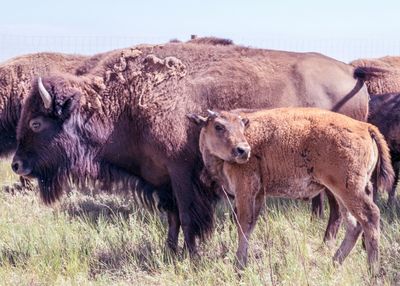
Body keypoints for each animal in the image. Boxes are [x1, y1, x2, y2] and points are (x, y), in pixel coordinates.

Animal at [12, 39, 376, 255]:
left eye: (36, 123)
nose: (16, 164)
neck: (127, 102)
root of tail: (351, 73)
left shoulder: (183, 175)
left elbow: (188, 218)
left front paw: (192, 256)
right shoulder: (162, 179)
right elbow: (172, 216)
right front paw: (170, 251)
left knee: (339, 210)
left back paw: (325, 246)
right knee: (340, 210)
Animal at [188, 107, 394, 274]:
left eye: (241, 125)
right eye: (218, 126)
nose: (243, 150)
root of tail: (364, 126)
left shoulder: (244, 190)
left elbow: (243, 225)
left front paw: (238, 266)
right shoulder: (258, 195)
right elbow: (250, 225)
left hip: (348, 189)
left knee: (370, 216)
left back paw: (372, 271)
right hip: (341, 192)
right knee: (354, 224)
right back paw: (333, 264)